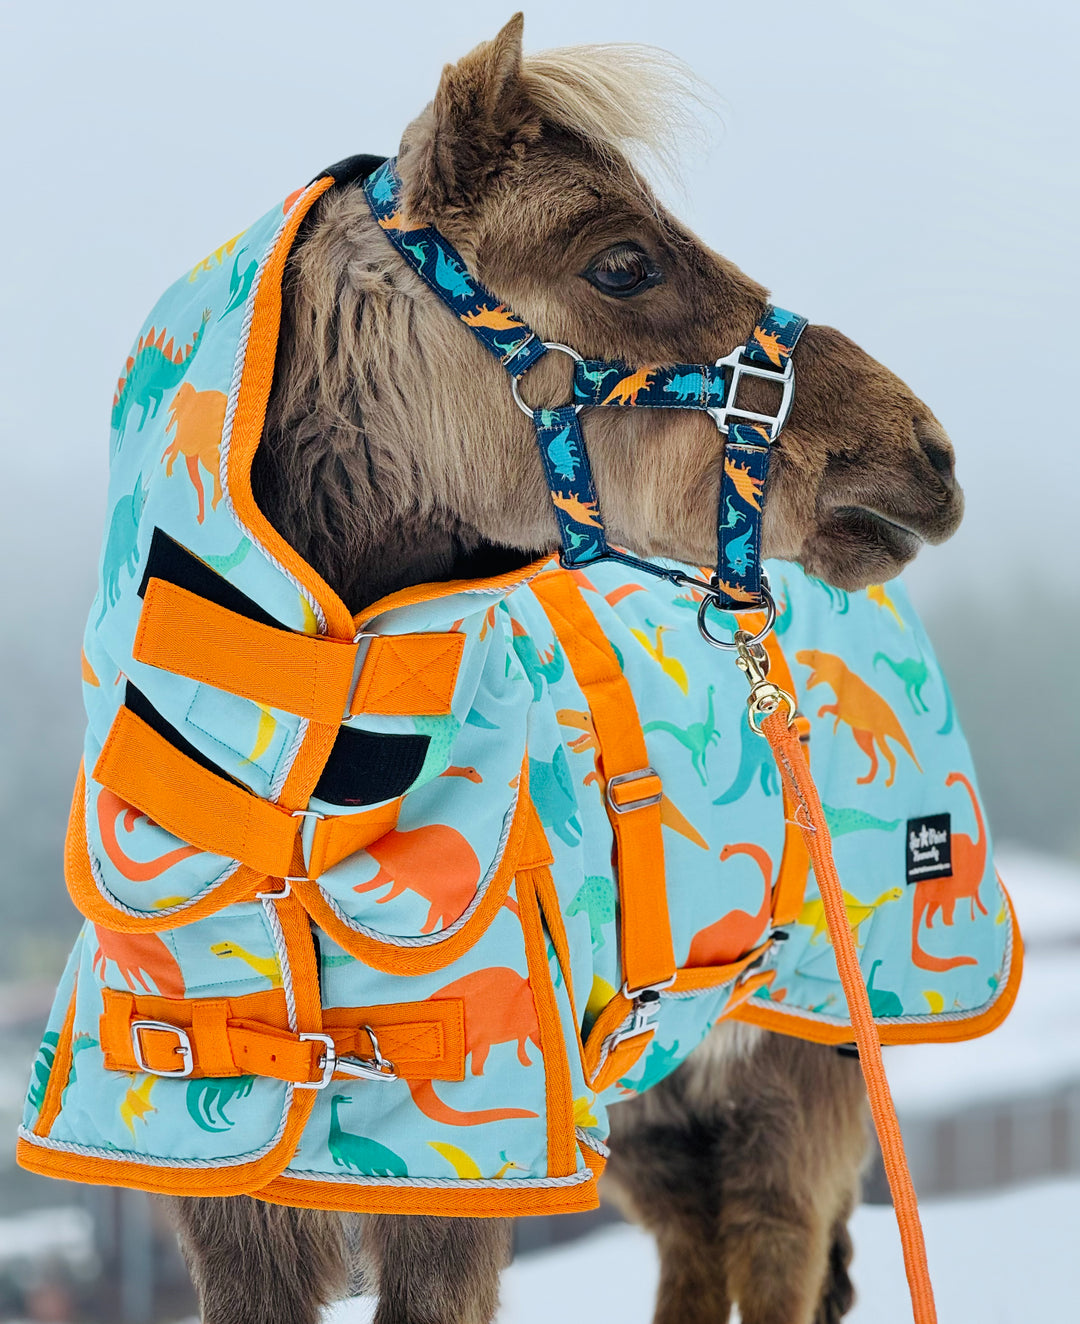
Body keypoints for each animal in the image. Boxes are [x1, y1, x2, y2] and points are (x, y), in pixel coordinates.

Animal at [165, 16, 962, 1324]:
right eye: (623, 264)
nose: (926, 457)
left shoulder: (464, 1173)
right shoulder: (223, 1192)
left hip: (800, 1062)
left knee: (774, 1245)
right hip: (649, 1094)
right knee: (697, 1247)